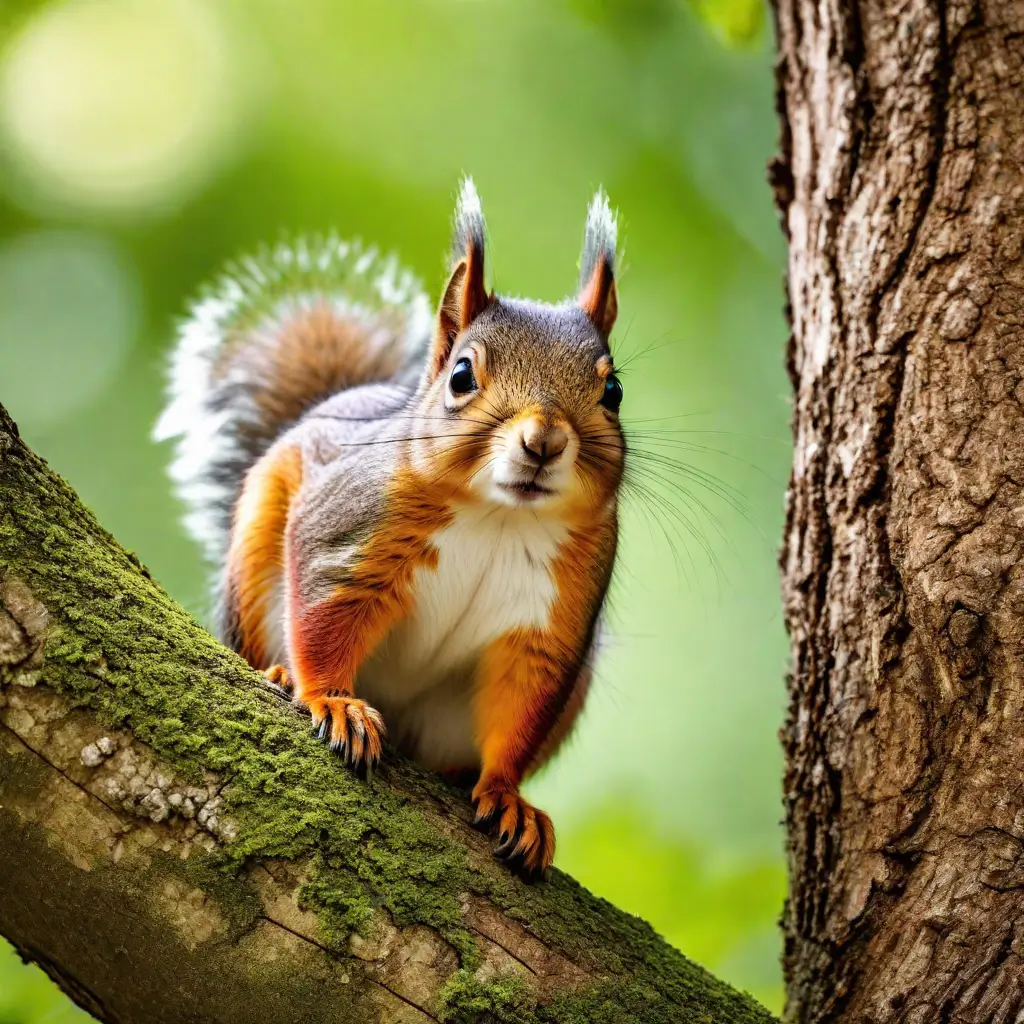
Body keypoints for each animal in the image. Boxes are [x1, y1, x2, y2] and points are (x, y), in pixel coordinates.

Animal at [155, 178, 625, 878]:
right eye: (461, 376)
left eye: (613, 391)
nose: (543, 442)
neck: (498, 514)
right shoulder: (348, 534)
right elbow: (326, 617)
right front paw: (332, 700)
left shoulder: (554, 617)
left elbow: (521, 705)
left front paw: (507, 795)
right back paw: (279, 674)